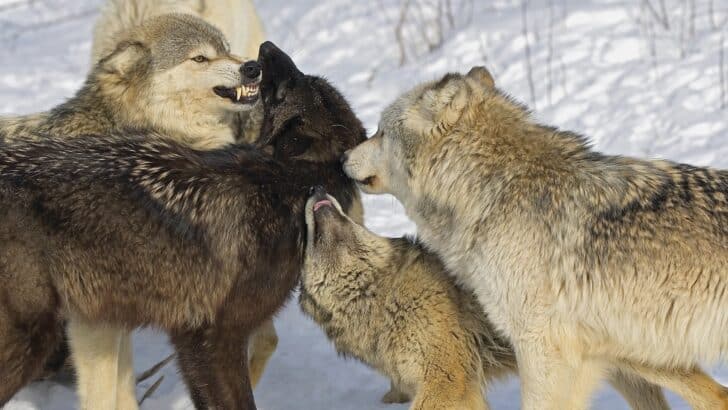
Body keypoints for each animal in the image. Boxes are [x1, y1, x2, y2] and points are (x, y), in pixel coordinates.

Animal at [0, 41, 364, 410]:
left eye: (290, 85)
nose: (264, 50)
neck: (287, 183)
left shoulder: (194, 339)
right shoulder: (210, 337)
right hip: (35, 340)